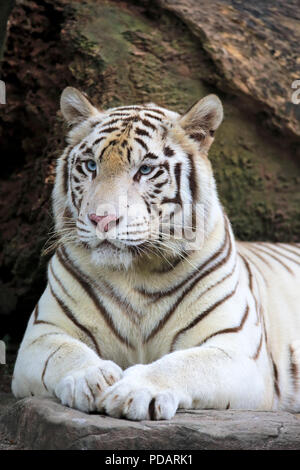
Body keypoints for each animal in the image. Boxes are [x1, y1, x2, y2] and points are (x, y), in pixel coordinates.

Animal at [12, 86, 300, 420]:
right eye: (91, 166)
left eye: (145, 170)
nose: (102, 219)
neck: (135, 273)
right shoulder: (42, 335)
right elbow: (64, 353)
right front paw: (92, 379)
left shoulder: (237, 351)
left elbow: (186, 364)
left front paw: (134, 391)